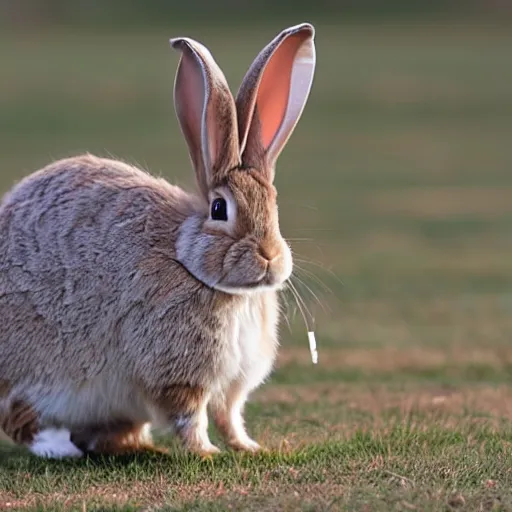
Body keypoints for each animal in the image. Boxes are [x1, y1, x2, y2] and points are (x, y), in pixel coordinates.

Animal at [0, 23, 316, 460]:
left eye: (274, 204)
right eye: (219, 208)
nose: (269, 255)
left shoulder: (232, 386)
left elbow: (230, 416)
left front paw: (249, 447)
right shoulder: (177, 374)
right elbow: (190, 418)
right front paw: (206, 453)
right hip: (35, 375)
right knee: (21, 418)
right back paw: (62, 447)